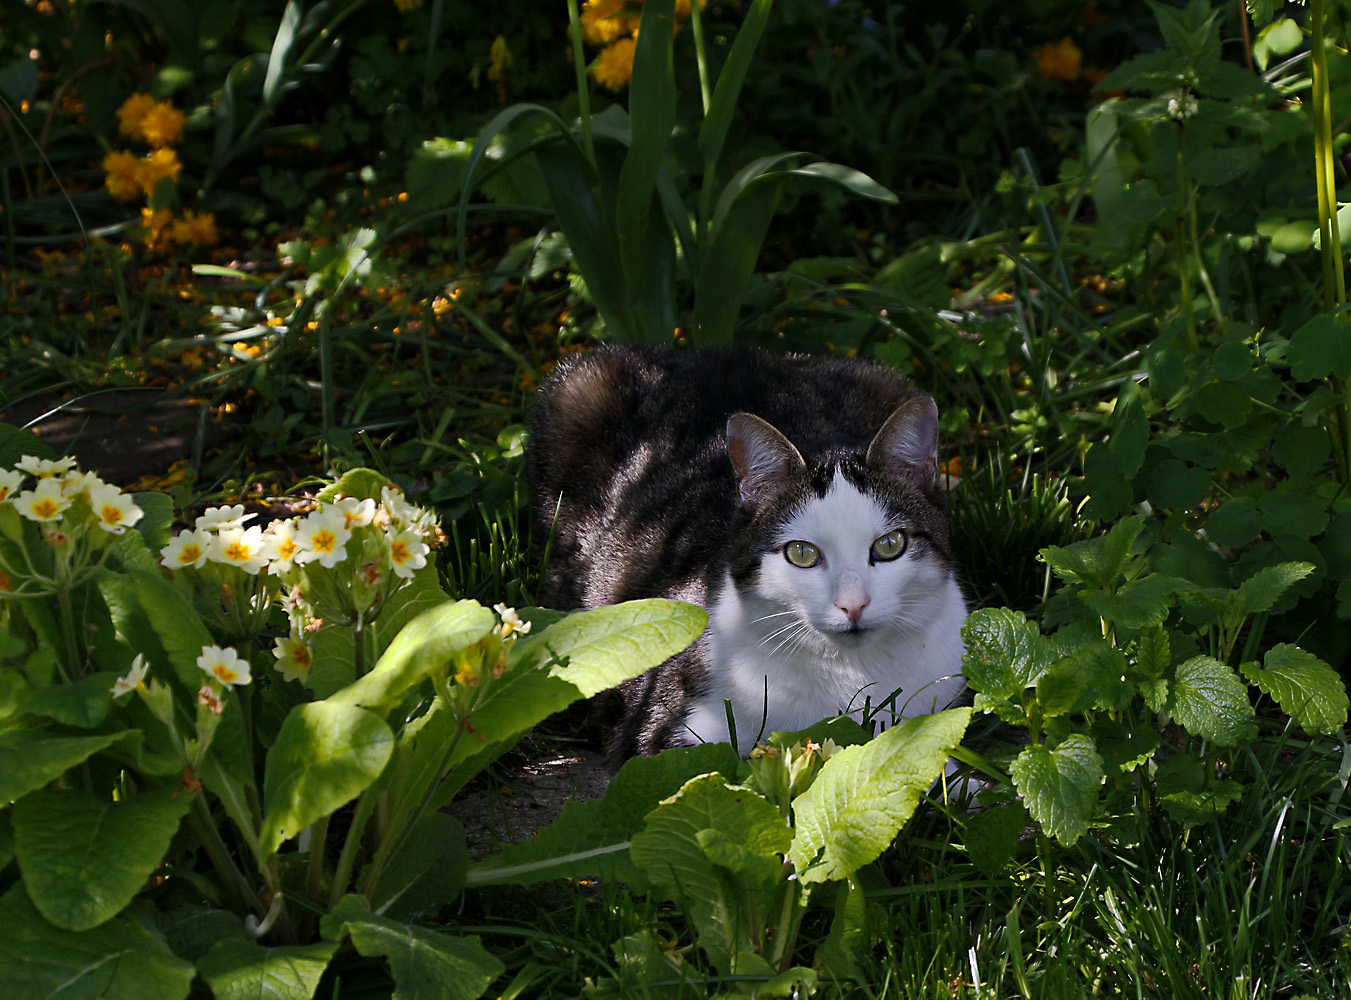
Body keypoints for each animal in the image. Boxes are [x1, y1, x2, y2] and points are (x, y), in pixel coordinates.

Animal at [521, 345, 967, 756]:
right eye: (801, 553)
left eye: (890, 545)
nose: (853, 604)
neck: (853, 675)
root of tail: (710, 351)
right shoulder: (673, 731)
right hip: (577, 388)